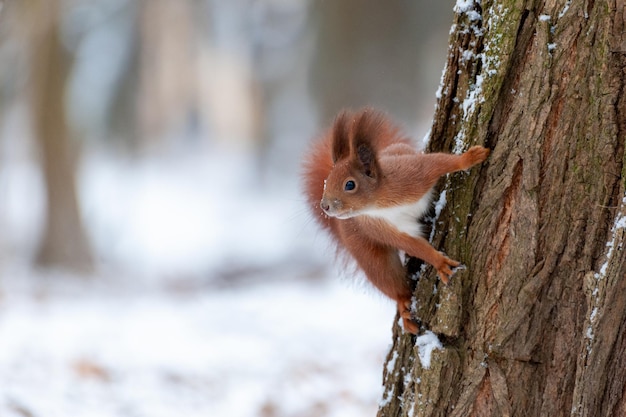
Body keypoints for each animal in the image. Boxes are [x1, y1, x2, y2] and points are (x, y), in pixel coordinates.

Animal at [302, 107, 488, 332]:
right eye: (327, 181)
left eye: (350, 185)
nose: (325, 206)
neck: (379, 204)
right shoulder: (383, 228)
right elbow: (414, 245)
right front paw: (440, 263)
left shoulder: (413, 175)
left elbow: (439, 162)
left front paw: (469, 158)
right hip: (369, 255)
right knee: (390, 281)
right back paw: (403, 305)